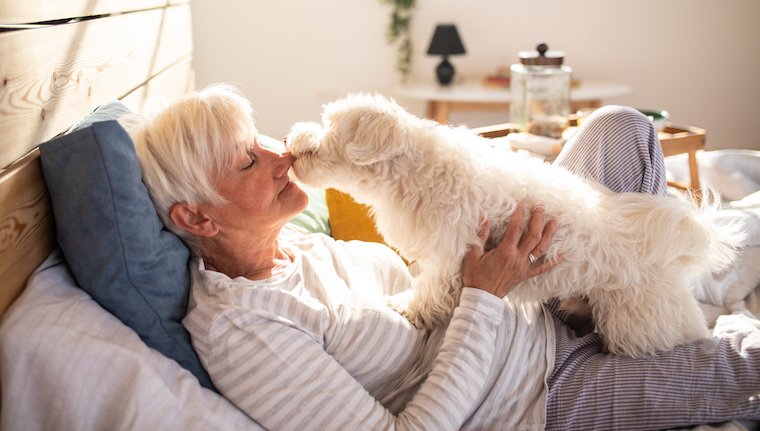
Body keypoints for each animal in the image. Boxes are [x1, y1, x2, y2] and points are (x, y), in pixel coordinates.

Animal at [288, 94, 740, 358]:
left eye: (331, 127)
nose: (293, 138)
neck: (413, 170)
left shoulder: (450, 253)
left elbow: (430, 291)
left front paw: (408, 310)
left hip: (640, 321)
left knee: (687, 333)